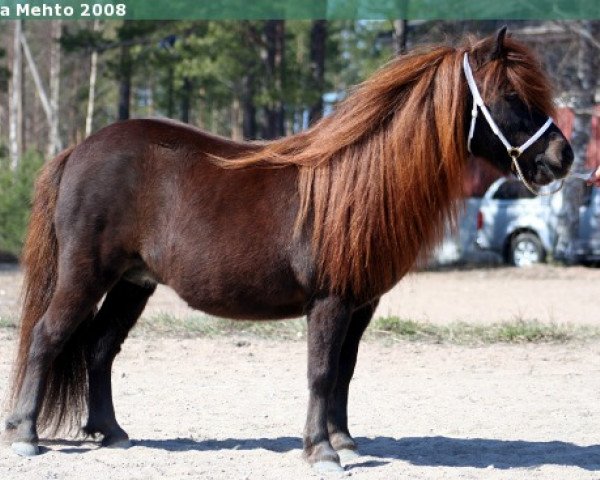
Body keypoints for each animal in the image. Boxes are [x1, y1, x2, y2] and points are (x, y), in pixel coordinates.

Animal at [3, 30, 572, 472]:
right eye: (510, 95)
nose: (562, 156)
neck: (360, 184)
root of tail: (78, 149)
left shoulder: (361, 305)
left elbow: (344, 369)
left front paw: (343, 439)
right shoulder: (330, 302)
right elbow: (320, 372)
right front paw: (321, 451)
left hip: (133, 283)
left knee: (100, 348)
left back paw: (112, 432)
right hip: (86, 274)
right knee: (48, 337)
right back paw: (27, 436)